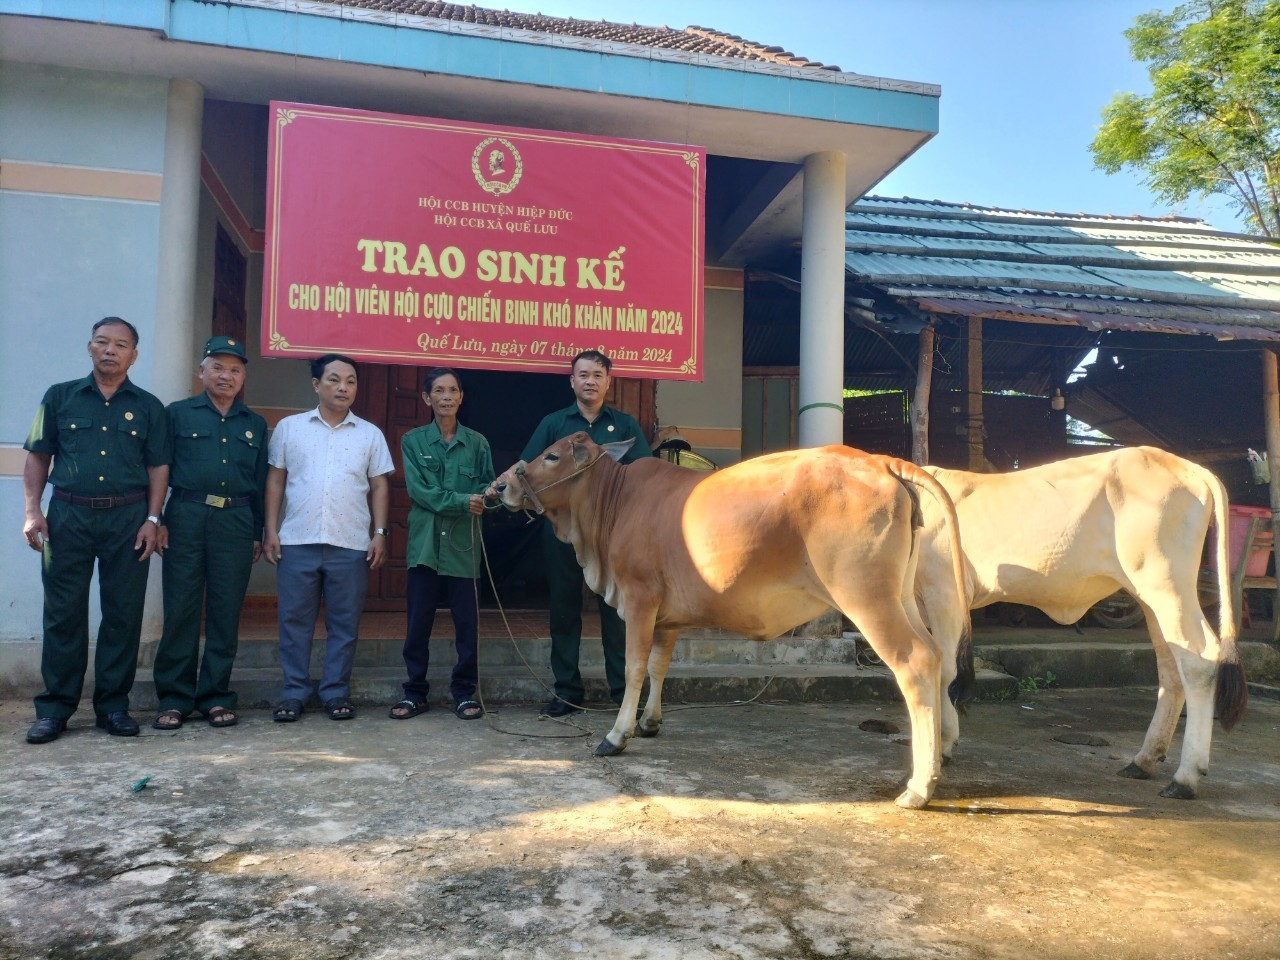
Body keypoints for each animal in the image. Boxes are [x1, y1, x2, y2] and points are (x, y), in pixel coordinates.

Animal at [488, 437, 967, 814]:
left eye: (551, 455)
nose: (502, 485)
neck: (613, 505)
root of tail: (879, 460)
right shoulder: (667, 616)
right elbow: (659, 667)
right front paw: (650, 723)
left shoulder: (640, 600)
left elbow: (634, 668)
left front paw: (618, 734)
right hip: (901, 595)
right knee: (939, 658)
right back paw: (941, 753)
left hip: (867, 598)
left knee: (916, 664)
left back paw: (920, 787)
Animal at [916, 450, 1254, 803]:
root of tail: (1188, 467)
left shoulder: (943, 592)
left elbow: (946, 670)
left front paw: (944, 745)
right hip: (1151, 595)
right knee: (1171, 667)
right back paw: (1143, 761)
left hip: (1166, 585)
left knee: (1200, 661)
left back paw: (1185, 778)